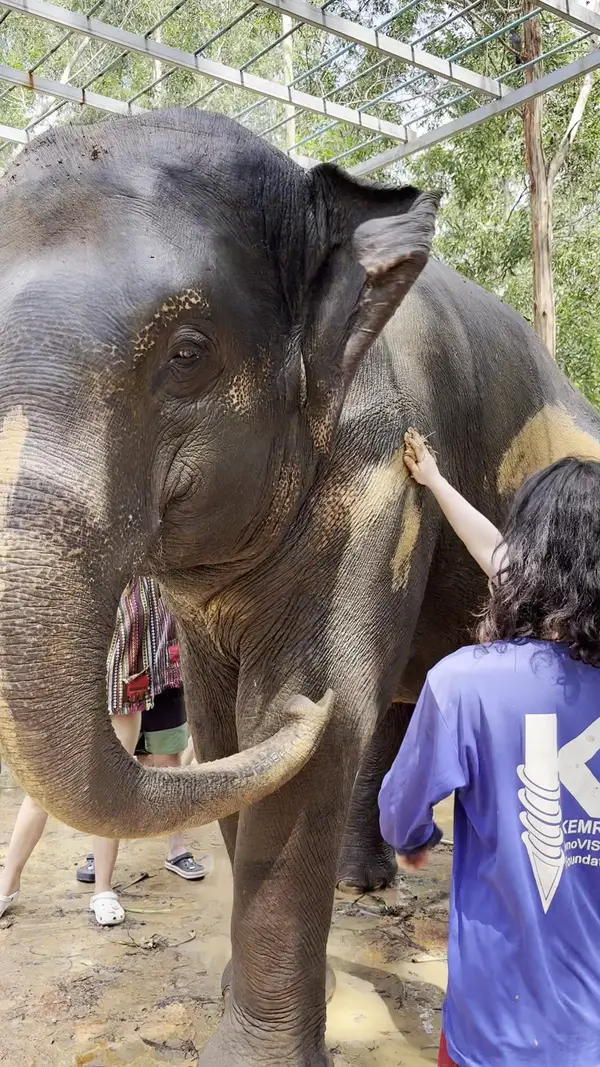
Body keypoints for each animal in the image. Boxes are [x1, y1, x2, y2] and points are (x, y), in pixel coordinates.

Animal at [1, 108, 600, 1067]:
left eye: (188, 354)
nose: (303, 709)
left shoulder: (379, 474)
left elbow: (303, 722)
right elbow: (224, 731)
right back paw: (364, 881)